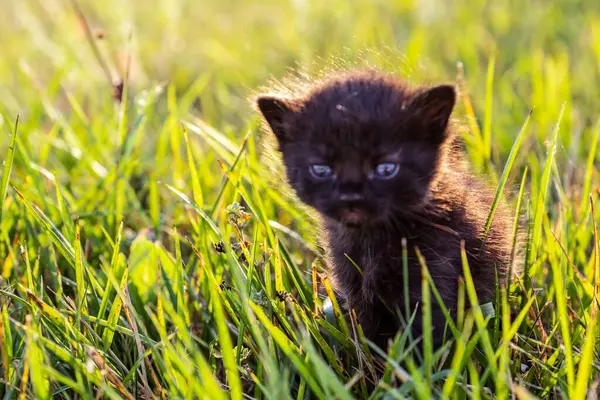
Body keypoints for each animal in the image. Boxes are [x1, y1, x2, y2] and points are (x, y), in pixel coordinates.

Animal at [255, 70, 512, 352]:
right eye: (321, 169)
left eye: (386, 169)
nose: (351, 197)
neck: (371, 238)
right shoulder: (352, 282)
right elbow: (367, 332)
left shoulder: (436, 272)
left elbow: (426, 334)